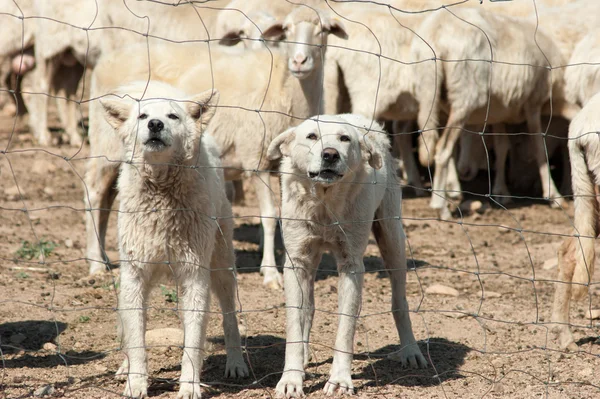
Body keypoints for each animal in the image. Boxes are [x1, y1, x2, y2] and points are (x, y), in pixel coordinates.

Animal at [84, 7, 346, 294]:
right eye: (286, 30)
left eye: (323, 30)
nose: (299, 61)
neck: (284, 87)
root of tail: (106, 60)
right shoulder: (255, 157)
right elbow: (268, 217)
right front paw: (270, 272)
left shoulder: (286, 167)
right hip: (106, 147)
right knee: (95, 194)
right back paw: (95, 264)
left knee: (107, 200)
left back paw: (104, 257)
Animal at [100, 79, 248, 398]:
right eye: (143, 116)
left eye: (172, 117)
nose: (155, 124)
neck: (161, 193)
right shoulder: (134, 275)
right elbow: (137, 338)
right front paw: (136, 382)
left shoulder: (194, 276)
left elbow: (193, 342)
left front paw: (190, 386)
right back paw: (125, 367)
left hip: (221, 264)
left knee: (229, 316)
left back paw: (236, 363)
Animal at [268, 114, 426, 398]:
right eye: (311, 136)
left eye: (344, 139)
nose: (330, 154)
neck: (324, 202)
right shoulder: (297, 261)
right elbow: (295, 323)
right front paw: (292, 379)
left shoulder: (351, 265)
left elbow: (346, 327)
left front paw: (340, 380)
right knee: (308, 308)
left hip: (392, 239)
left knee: (399, 302)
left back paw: (410, 350)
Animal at [410, 6, 568, 219]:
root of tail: (437, 29)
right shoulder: (533, 102)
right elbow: (539, 147)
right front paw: (554, 196)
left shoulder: (498, 112)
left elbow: (502, 147)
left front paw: (502, 192)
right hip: (464, 97)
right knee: (443, 150)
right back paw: (440, 207)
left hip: (430, 94)